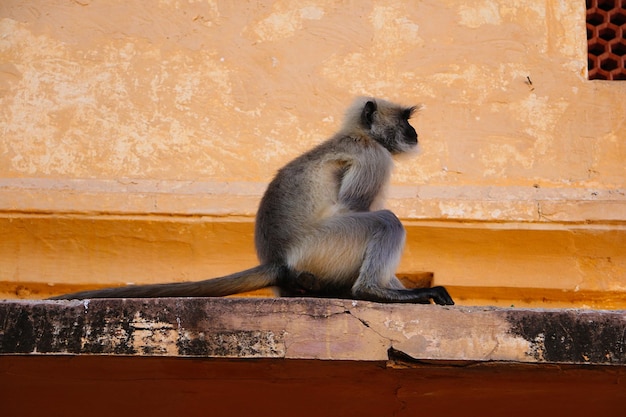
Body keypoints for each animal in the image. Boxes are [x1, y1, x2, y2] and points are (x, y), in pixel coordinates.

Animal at [52, 98, 454, 306]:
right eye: (405, 120)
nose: (414, 132)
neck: (358, 134)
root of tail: (279, 259)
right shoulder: (374, 156)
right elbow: (353, 209)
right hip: (322, 248)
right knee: (385, 220)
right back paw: (374, 291)